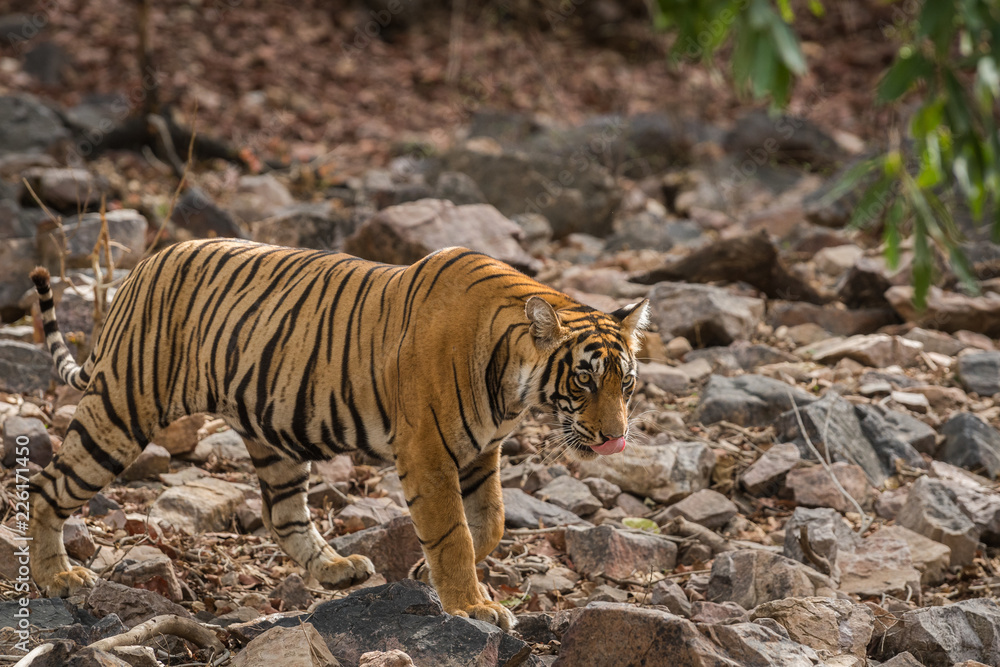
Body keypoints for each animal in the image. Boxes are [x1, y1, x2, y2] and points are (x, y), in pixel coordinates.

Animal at [27, 238, 649, 631]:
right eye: (584, 378)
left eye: (626, 383)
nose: (615, 438)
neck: (513, 385)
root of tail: (142, 267)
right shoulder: (428, 453)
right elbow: (452, 531)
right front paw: (472, 606)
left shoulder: (480, 452)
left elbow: (489, 521)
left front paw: (427, 574)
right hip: (122, 409)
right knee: (46, 486)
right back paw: (55, 577)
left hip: (273, 435)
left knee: (282, 514)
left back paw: (334, 567)